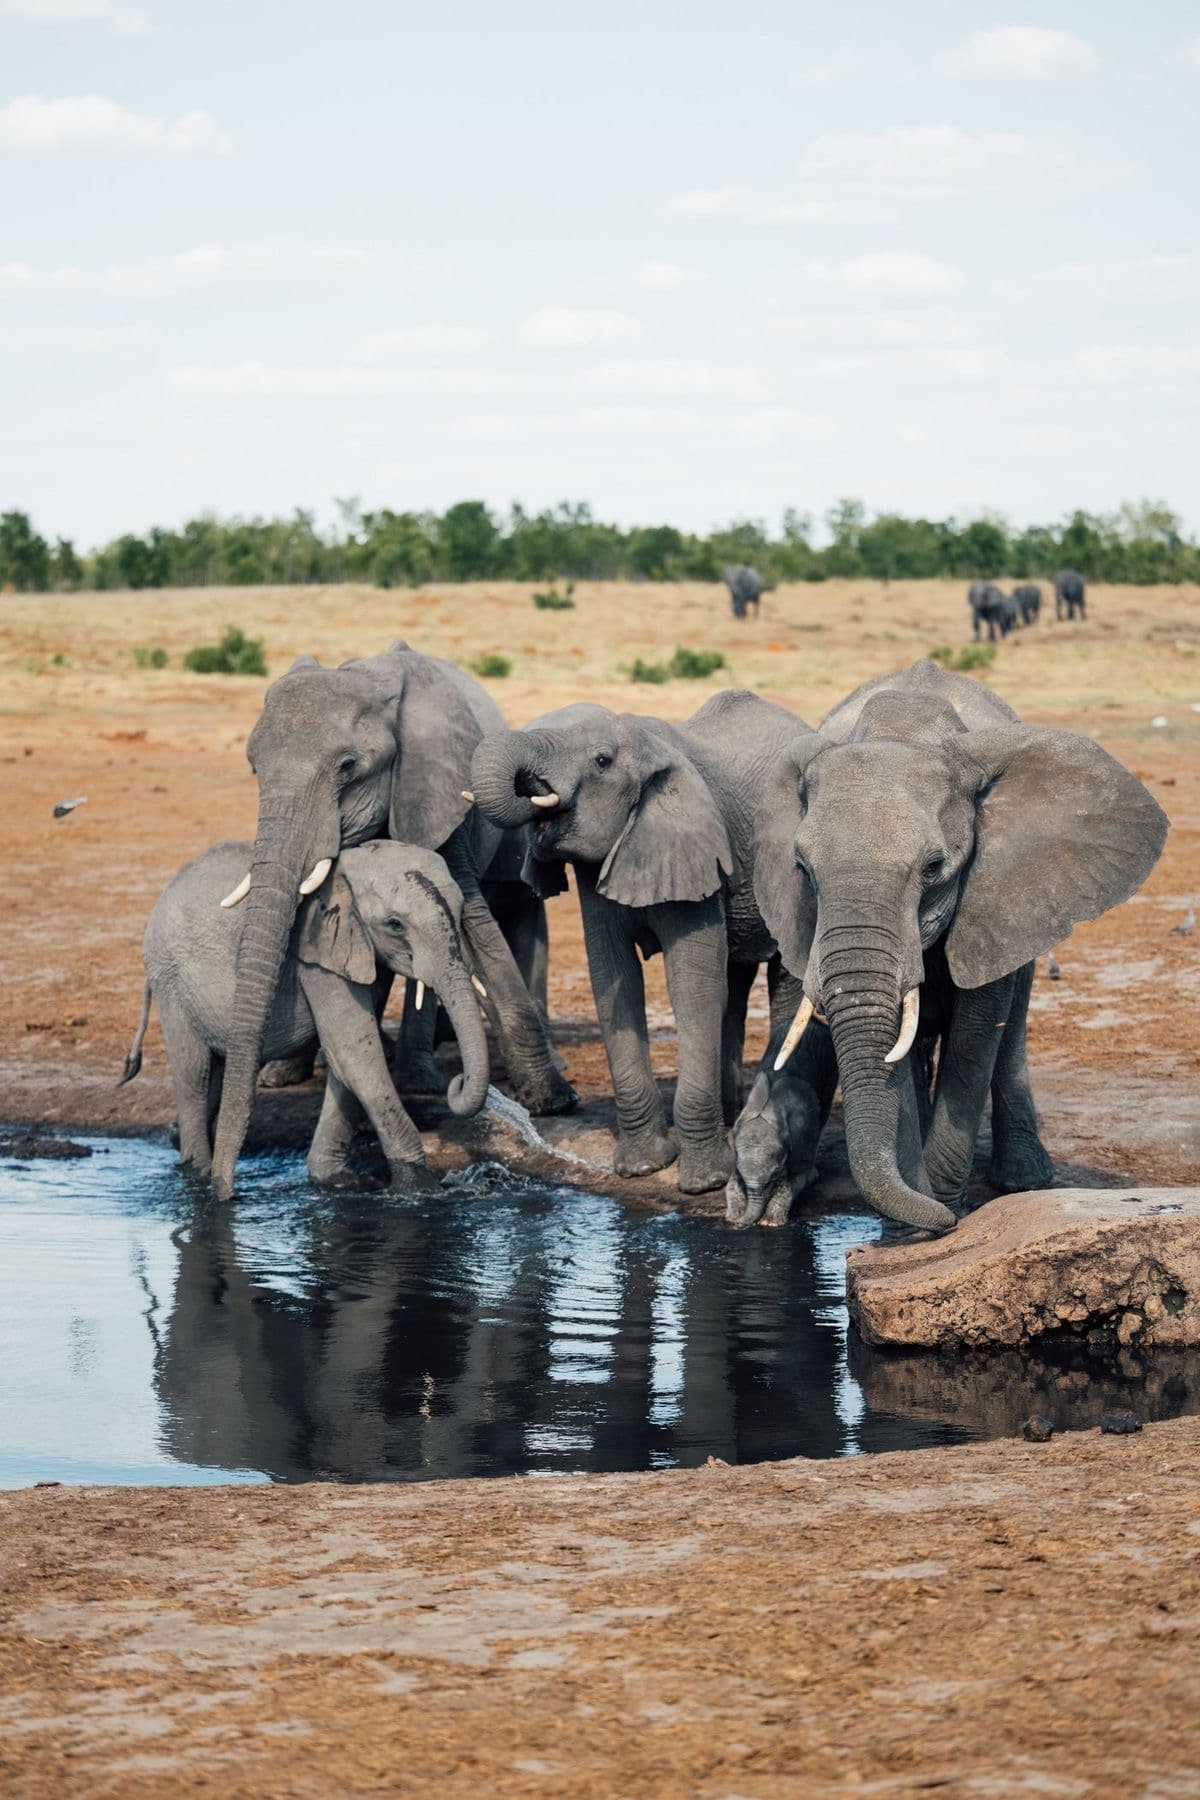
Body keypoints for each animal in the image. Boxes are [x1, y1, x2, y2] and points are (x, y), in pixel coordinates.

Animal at [120, 839, 490, 1188]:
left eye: (460, 911)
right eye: (395, 925)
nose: (457, 1082)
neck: (346, 870)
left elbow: (344, 1061)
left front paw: (337, 1180)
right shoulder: (317, 959)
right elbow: (355, 1054)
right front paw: (421, 1188)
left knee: (217, 1070)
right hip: (168, 976)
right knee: (194, 1074)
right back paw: (196, 1173)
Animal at [208, 642, 575, 1201]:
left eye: (348, 767)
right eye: (253, 767)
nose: (224, 1193)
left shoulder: (434, 797)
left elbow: (474, 923)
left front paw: (553, 1101)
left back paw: (418, 1079)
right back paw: (283, 1075)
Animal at [469, 689, 813, 1193]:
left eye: (601, 760)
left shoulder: (693, 848)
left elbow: (691, 985)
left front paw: (704, 1181)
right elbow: (614, 980)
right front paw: (641, 1167)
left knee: (778, 977)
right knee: (732, 980)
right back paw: (730, 1112)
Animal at [752, 659, 1168, 1233]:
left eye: (934, 868)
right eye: (803, 869)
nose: (938, 1220)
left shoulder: (993, 893)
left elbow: (975, 1037)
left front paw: (945, 1215)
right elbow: (898, 1056)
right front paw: (912, 1225)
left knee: (1010, 1030)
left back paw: (1024, 1179)